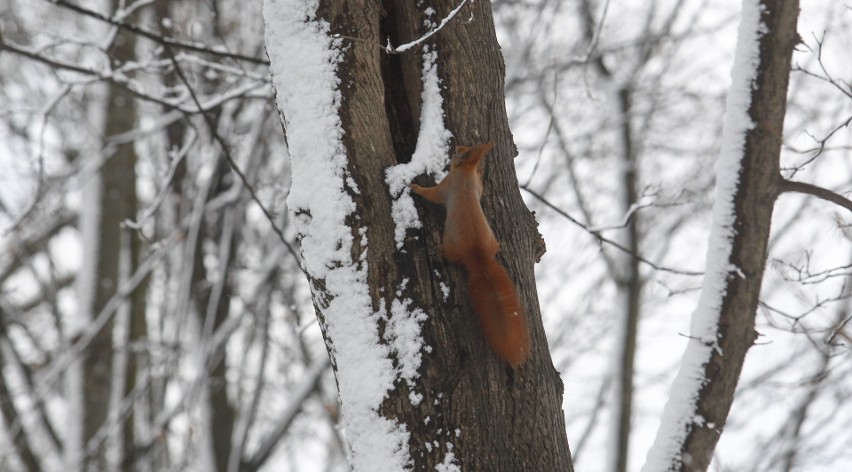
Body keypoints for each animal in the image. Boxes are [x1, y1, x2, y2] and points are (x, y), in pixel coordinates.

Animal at [410, 143, 528, 368]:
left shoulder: (445, 185)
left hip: (451, 245)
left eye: (460, 151)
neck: (466, 172)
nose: (456, 146)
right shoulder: (475, 185)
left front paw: (416, 188)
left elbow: (431, 194)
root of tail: (478, 256)